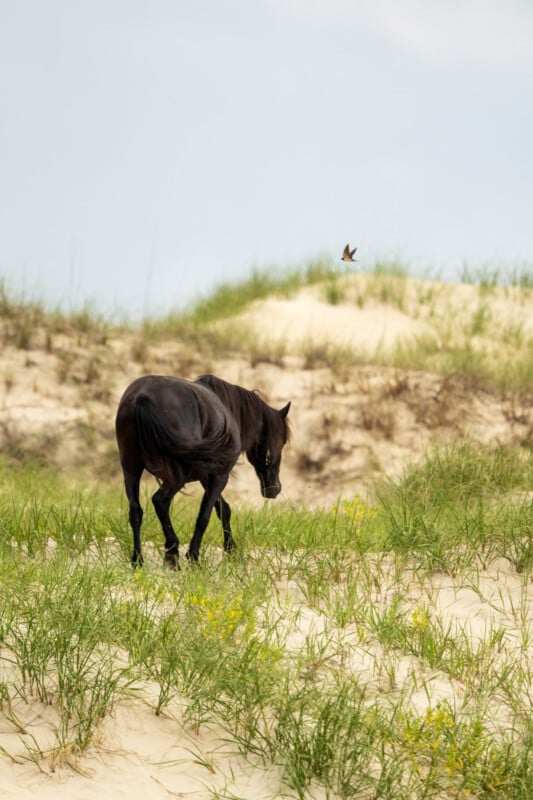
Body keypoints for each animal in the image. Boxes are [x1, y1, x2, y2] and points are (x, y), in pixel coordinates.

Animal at [115, 373, 291, 568]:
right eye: (282, 441)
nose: (275, 489)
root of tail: (142, 395)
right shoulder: (219, 476)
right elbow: (204, 516)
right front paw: (194, 556)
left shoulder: (207, 477)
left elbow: (223, 509)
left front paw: (231, 550)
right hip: (178, 475)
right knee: (160, 501)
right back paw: (172, 553)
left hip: (131, 469)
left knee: (135, 512)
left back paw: (138, 560)